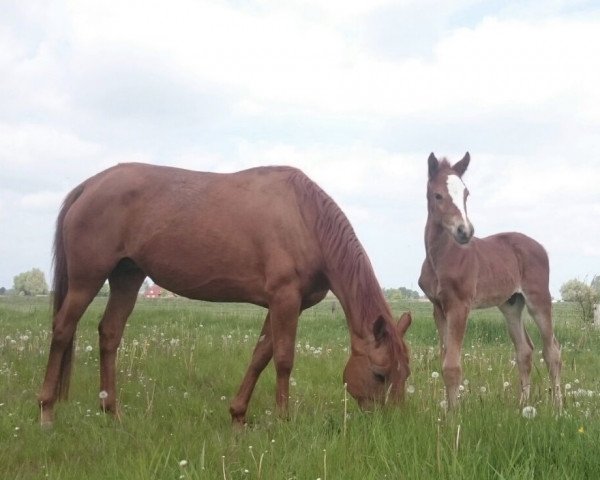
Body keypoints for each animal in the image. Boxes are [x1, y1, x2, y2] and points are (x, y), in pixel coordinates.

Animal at [38, 164, 412, 424]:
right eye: (379, 374)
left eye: (405, 374)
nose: (388, 423)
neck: (306, 219)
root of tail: (90, 185)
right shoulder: (285, 300)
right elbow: (283, 359)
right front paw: (283, 420)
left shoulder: (282, 304)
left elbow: (260, 356)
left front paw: (238, 415)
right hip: (86, 280)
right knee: (63, 329)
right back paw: (46, 411)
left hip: (127, 277)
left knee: (110, 334)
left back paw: (113, 413)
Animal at [418, 153, 564, 408]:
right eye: (437, 195)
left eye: (466, 194)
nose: (465, 231)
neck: (441, 257)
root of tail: (539, 246)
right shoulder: (438, 308)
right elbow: (444, 359)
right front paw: (446, 409)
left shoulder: (460, 306)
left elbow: (452, 366)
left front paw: (453, 415)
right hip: (511, 304)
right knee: (524, 350)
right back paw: (522, 405)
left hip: (538, 300)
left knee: (552, 351)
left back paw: (558, 406)